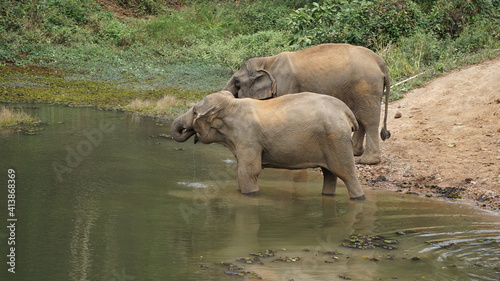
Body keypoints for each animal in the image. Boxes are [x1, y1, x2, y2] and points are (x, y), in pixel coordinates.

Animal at [170, 90, 366, 199]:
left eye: (195, 112)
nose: (187, 129)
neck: (232, 105)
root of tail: (347, 111)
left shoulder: (248, 137)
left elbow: (249, 171)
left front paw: (250, 196)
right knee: (329, 175)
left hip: (337, 140)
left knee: (346, 174)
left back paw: (359, 198)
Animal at [223, 42, 390, 164]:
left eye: (237, 83)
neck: (267, 61)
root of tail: (381, 63)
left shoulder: (285, 84)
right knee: (359, 118)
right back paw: (355, 152)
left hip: (367, 85)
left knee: (368, 120)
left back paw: (367, 161)